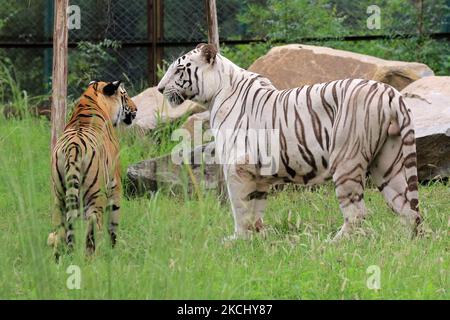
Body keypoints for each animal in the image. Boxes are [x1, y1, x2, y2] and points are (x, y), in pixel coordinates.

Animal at [157, 43, 422, 241]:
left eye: (178, 70)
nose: (159, 89)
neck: (215, 94)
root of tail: (390, 92)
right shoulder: (256, 172)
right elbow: (255, 207)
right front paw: (258, 238)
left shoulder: (236, 166)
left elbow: (239, 208)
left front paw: (237, 240)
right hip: (388, 163)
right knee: (408, 208)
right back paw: (405, 241)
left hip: (347, 161)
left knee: (357, 213)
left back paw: (333, 243)